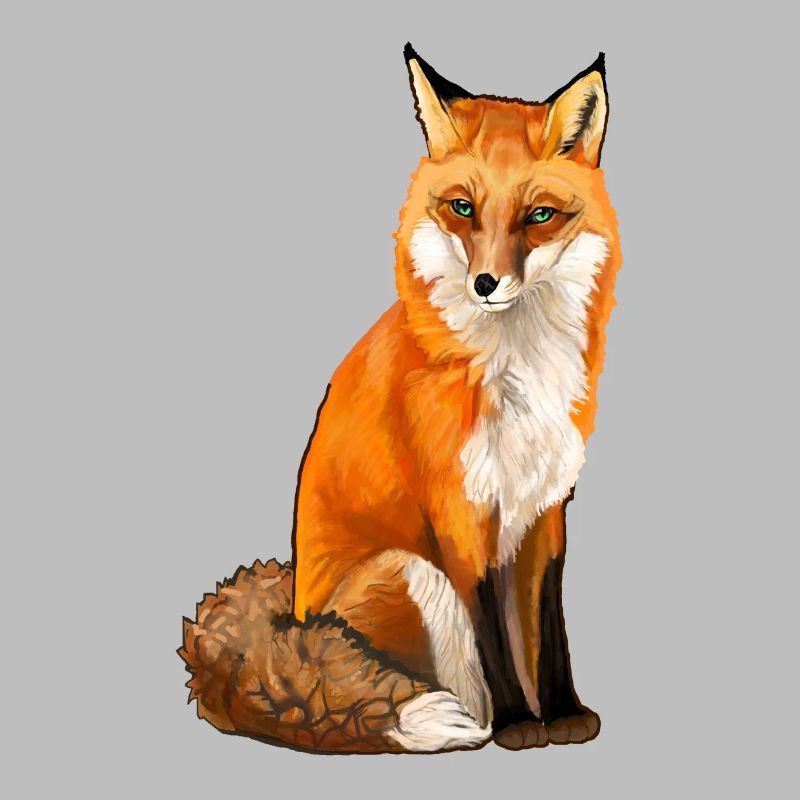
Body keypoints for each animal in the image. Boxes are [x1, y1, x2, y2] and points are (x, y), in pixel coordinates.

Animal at [181, 44, 622, 755]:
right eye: (463, 208)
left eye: (539, 216)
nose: (486, 283)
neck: (515, 370)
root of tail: (290, 616)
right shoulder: (458, 512)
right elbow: (494, 635)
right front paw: (521, 724)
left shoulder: (545, 507)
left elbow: (548, 626)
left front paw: (563, 712)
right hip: (412, 570)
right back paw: (473, 722)